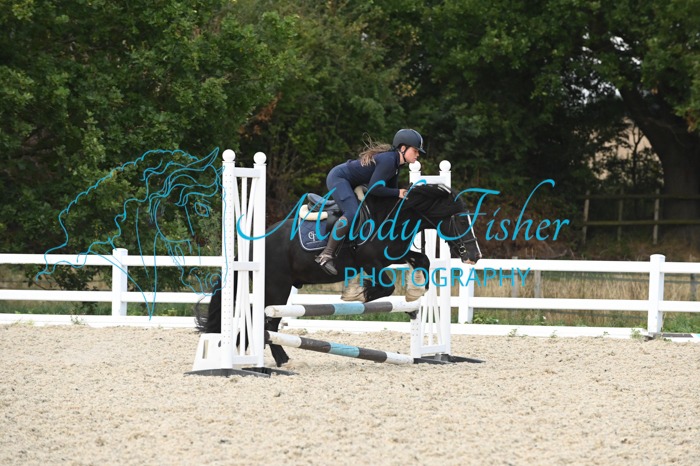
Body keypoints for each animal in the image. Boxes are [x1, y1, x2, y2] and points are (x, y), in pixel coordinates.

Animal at [196, 181, 482, 367]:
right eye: (460, 220)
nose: (474, 255)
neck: (394, 217)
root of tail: (254, 245)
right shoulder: (371, 261)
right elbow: (385, 286)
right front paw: (356, 294)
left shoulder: (394, 255)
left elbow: (422, 260)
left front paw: (414, 294)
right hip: (277, 287)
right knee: (267, 323)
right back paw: (276, 359)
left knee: (268, 324)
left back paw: (275, 357)